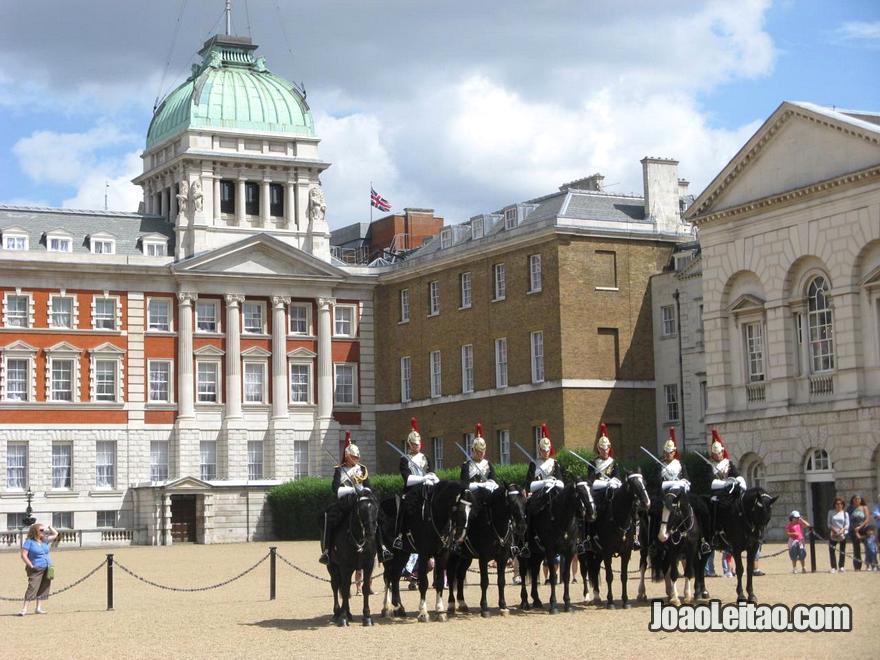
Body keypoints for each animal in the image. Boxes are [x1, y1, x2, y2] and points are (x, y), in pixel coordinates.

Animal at [328, 492, 380, 628]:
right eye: (361, 510)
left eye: (375, 508)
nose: (370, 531)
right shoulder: (345, 566)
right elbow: (345, 589)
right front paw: (343, 618)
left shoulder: (368, 565)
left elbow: (365, 588)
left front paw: (367, 617)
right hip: (332, 566)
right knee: (335, 585)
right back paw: (337, 613)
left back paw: (347, 612)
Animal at [380, 482, 474, 620]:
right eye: (456, 509)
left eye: (470, 510)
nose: (461, 535)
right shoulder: (423, 554)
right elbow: (423, 582)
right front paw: (423, 612)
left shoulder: (442, 555)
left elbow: (439, 582)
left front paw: (440, 611)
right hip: (390, 554)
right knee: (387, 576)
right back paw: (386, 608)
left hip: (403, 553)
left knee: (395, 576)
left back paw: (399, 608)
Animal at [450, 484, 524, 620]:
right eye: (511, 502)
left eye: (524, 501)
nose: (522, 526)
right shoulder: (483, 559)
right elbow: (484, 582)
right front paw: (484, 607)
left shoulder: (502, 558)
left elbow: (501, 581)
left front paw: (503, 605)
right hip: (454, 557)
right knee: (451, 574)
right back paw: (451, 604)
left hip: (466, 558)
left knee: (460, 575)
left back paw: (462, 603)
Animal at [516, 480, 592, 612]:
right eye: (581, 493)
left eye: (591, 490)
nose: (592, 513)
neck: (560, 519)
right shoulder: (550, 552)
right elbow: (552, 576)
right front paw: (553, 604)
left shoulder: (569, 552)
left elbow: (566, 576)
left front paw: (567, 603)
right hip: (523, 555)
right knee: (523, 573)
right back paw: (525, 601)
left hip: (538, 554)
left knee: (535, 571)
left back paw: (536, 600)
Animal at [580, 474, 648, 608]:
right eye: (634, 485)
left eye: (644, 482)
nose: (646, 503)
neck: (618, 518)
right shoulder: (607, 552)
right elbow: (609, 576)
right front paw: (610, 602)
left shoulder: (626, 552)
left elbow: (624, 576)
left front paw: (625, 601)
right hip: (584, 552)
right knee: (584, 571)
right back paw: (587, 597)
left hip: (597, 553)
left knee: (595, 568)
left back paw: (597, 596)